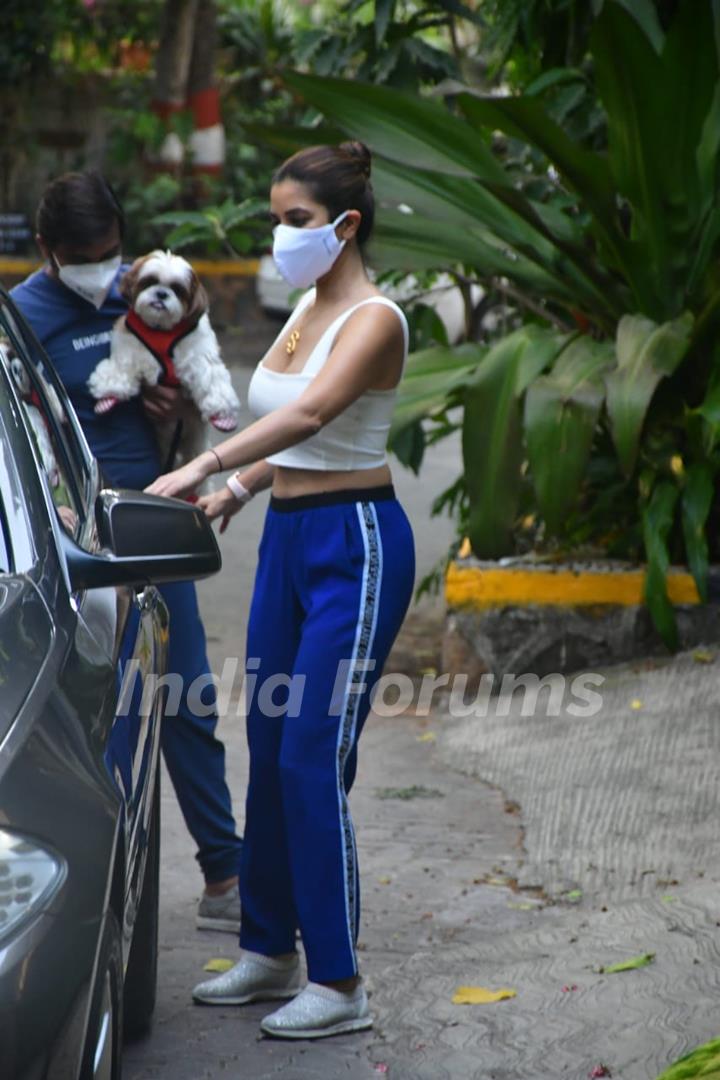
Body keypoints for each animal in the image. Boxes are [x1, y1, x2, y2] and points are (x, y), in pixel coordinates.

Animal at [88, 250, 240, 475]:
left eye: (177, 290)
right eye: (149, 282)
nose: (161, 294)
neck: (160, 330)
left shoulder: (198, 353)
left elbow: (210, 377)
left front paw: (222, 415)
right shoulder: (129, 347)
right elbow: (121, 368)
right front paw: (108, 396)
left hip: (194, 442)